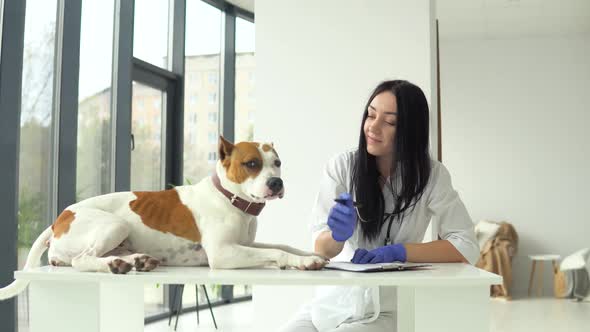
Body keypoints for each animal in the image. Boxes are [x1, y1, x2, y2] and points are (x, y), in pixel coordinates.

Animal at [0, 136, 328, 300]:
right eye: (251, 164)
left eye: (277, 163)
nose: (276, 183)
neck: (231, 199)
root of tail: (60, 217)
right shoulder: (224, 253)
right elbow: (277, 252)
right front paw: (303, 262)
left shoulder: (245, 244)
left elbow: (282, 246)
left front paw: (308, 254)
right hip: (114, 224)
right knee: (83, 260)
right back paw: (117, 265)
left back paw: (134, 261)